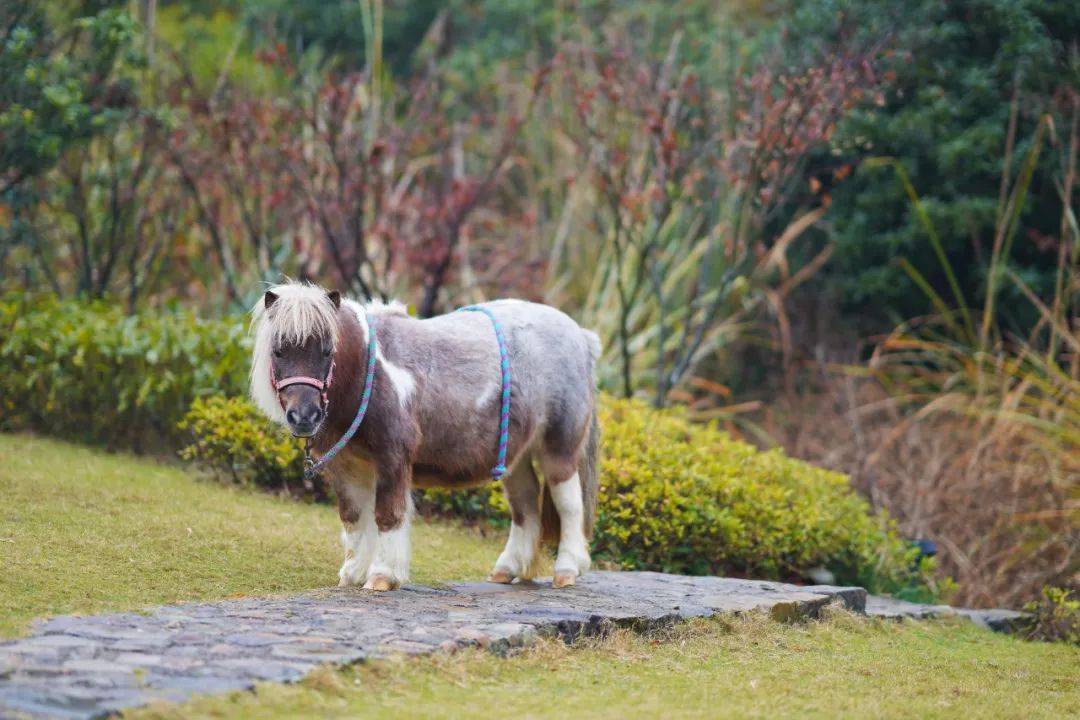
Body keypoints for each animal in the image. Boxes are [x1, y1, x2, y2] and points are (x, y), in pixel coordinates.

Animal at [252, 280, 604, 591]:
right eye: (279, 351)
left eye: (327, 351)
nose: (304, 416)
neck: (368, 368)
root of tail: (582, 336)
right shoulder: (347, 465)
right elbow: (353, 517)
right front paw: (352, 573)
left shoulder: (392, 456)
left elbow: (388, 514)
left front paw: (382, 576)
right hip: (514, 457)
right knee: (526, 507)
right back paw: (507, 569)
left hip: (559, 448)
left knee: (569, 505)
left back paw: (567, 570)